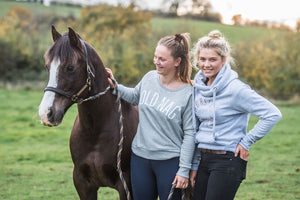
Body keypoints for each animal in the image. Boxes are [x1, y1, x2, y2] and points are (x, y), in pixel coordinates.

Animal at [37, 25, 139, 200]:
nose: (46, 113)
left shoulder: (126, 186)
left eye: (70, 67)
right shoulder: (83, 183)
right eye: (47, 67)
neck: (95, 132)